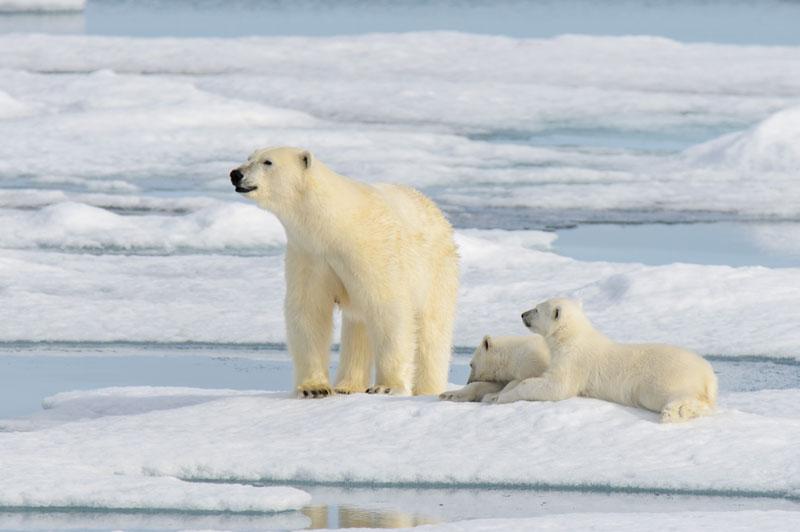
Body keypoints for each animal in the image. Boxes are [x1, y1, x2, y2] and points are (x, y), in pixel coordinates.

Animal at [229, 147, 459, 397]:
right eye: (249, 158)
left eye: (267, 162)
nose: (236, 174)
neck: (334, 225)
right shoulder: (309, 254)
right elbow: (309, 311)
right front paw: (314, 388)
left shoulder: (370, 250)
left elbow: (388, 308)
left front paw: (386, 386)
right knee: (357, 326)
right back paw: (347, 387)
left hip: (436, 268)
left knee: (432, 330)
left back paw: (428, 389)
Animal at [484, 298, 717, 423]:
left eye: (537, 308)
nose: (523, 314)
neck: (573, 337)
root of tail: (709, 375)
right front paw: (492, 395)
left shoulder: (574, 361)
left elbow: (555, 387)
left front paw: (502, 397)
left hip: (667, 377)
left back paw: (673, 412)